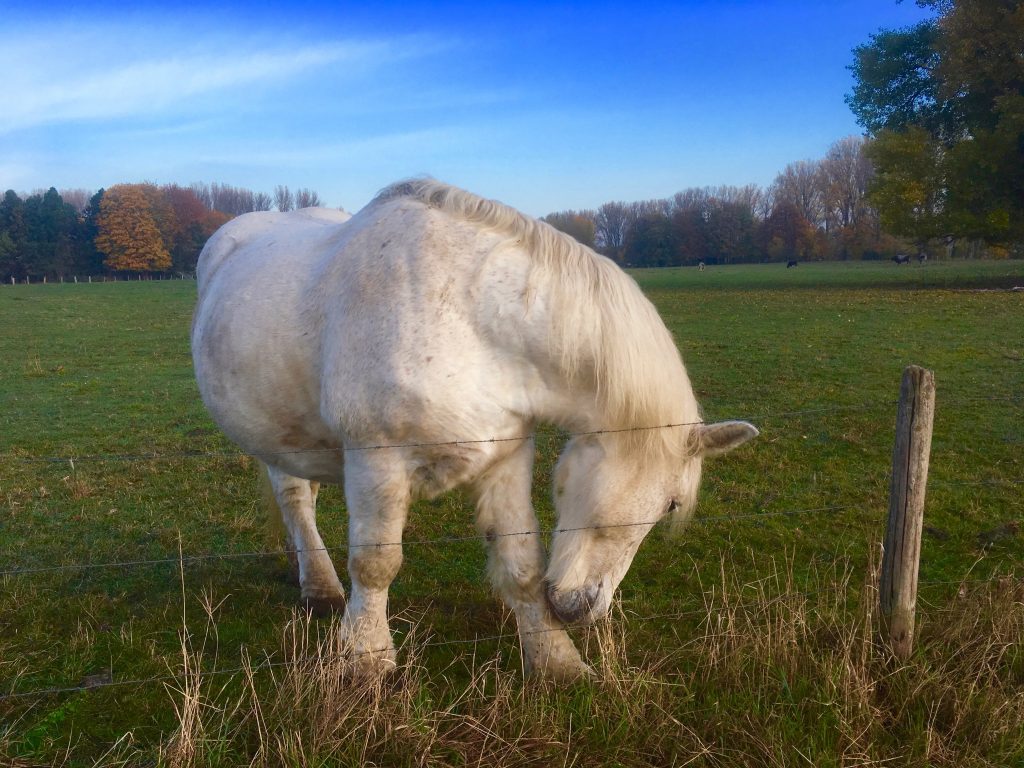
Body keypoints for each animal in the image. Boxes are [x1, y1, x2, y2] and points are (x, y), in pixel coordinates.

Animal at [190, 180, 753, 679]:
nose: (580, 609)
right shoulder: (377, 459)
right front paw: (367, 661)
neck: (470, 319)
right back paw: (321, 587)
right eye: (674, 505)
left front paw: (557, 661)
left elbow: (522, 564)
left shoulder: (506, 455)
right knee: (294, 500)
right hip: (274, 433)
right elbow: (375, 564)